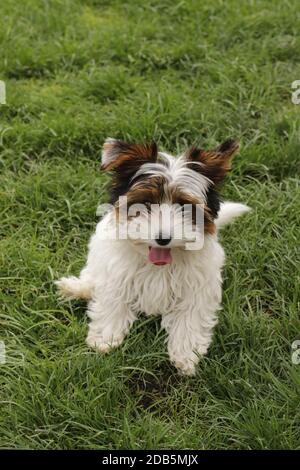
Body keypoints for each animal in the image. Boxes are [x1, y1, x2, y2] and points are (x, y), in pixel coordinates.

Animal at [55, 138, 248, 376]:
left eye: (184, 205)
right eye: (146, 203)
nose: (163, 238)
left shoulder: (198, 285)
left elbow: (191, 315)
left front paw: (186, 354)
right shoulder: (117, 273)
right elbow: (113, 300)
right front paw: (105, 337)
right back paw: (77, 288)